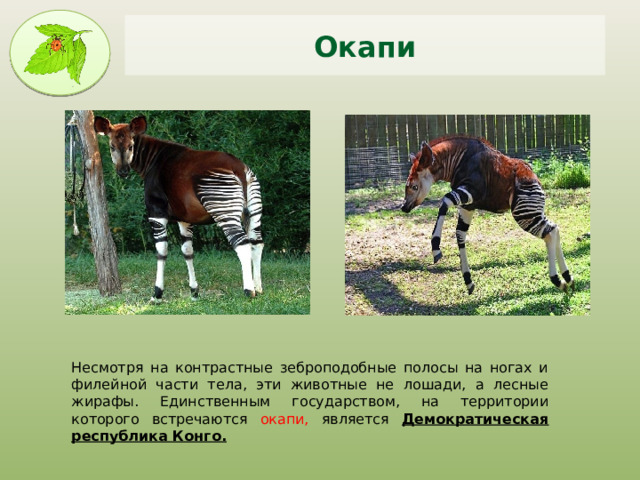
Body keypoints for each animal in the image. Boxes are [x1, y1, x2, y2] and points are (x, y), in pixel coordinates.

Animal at [94, 115, 263, 301]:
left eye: (131, 146)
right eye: (112, 146)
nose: (123, 171)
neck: (152, 160)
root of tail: (239, 168)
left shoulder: (156, 212)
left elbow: (161, 250)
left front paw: (157, 294)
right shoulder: (184, 218)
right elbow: (187, 251)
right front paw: (194, 292)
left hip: (224, 210)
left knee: (242, 244)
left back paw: (249, 290)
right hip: (255, 211)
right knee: (257, 243)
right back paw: (259, 288)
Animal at [401, 136, 573, 294]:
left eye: (414, 186)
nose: (404, 207)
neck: (458, 160)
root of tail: (535, 180)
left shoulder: (471, 191)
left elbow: (444, 201)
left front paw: (436, 248)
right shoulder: (468, 205)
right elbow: (460, 235)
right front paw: (468, 282)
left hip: (524, 214)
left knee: (549, 232)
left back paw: (557, 280)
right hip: (529, 212)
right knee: (554, 229)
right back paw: (567, 279)